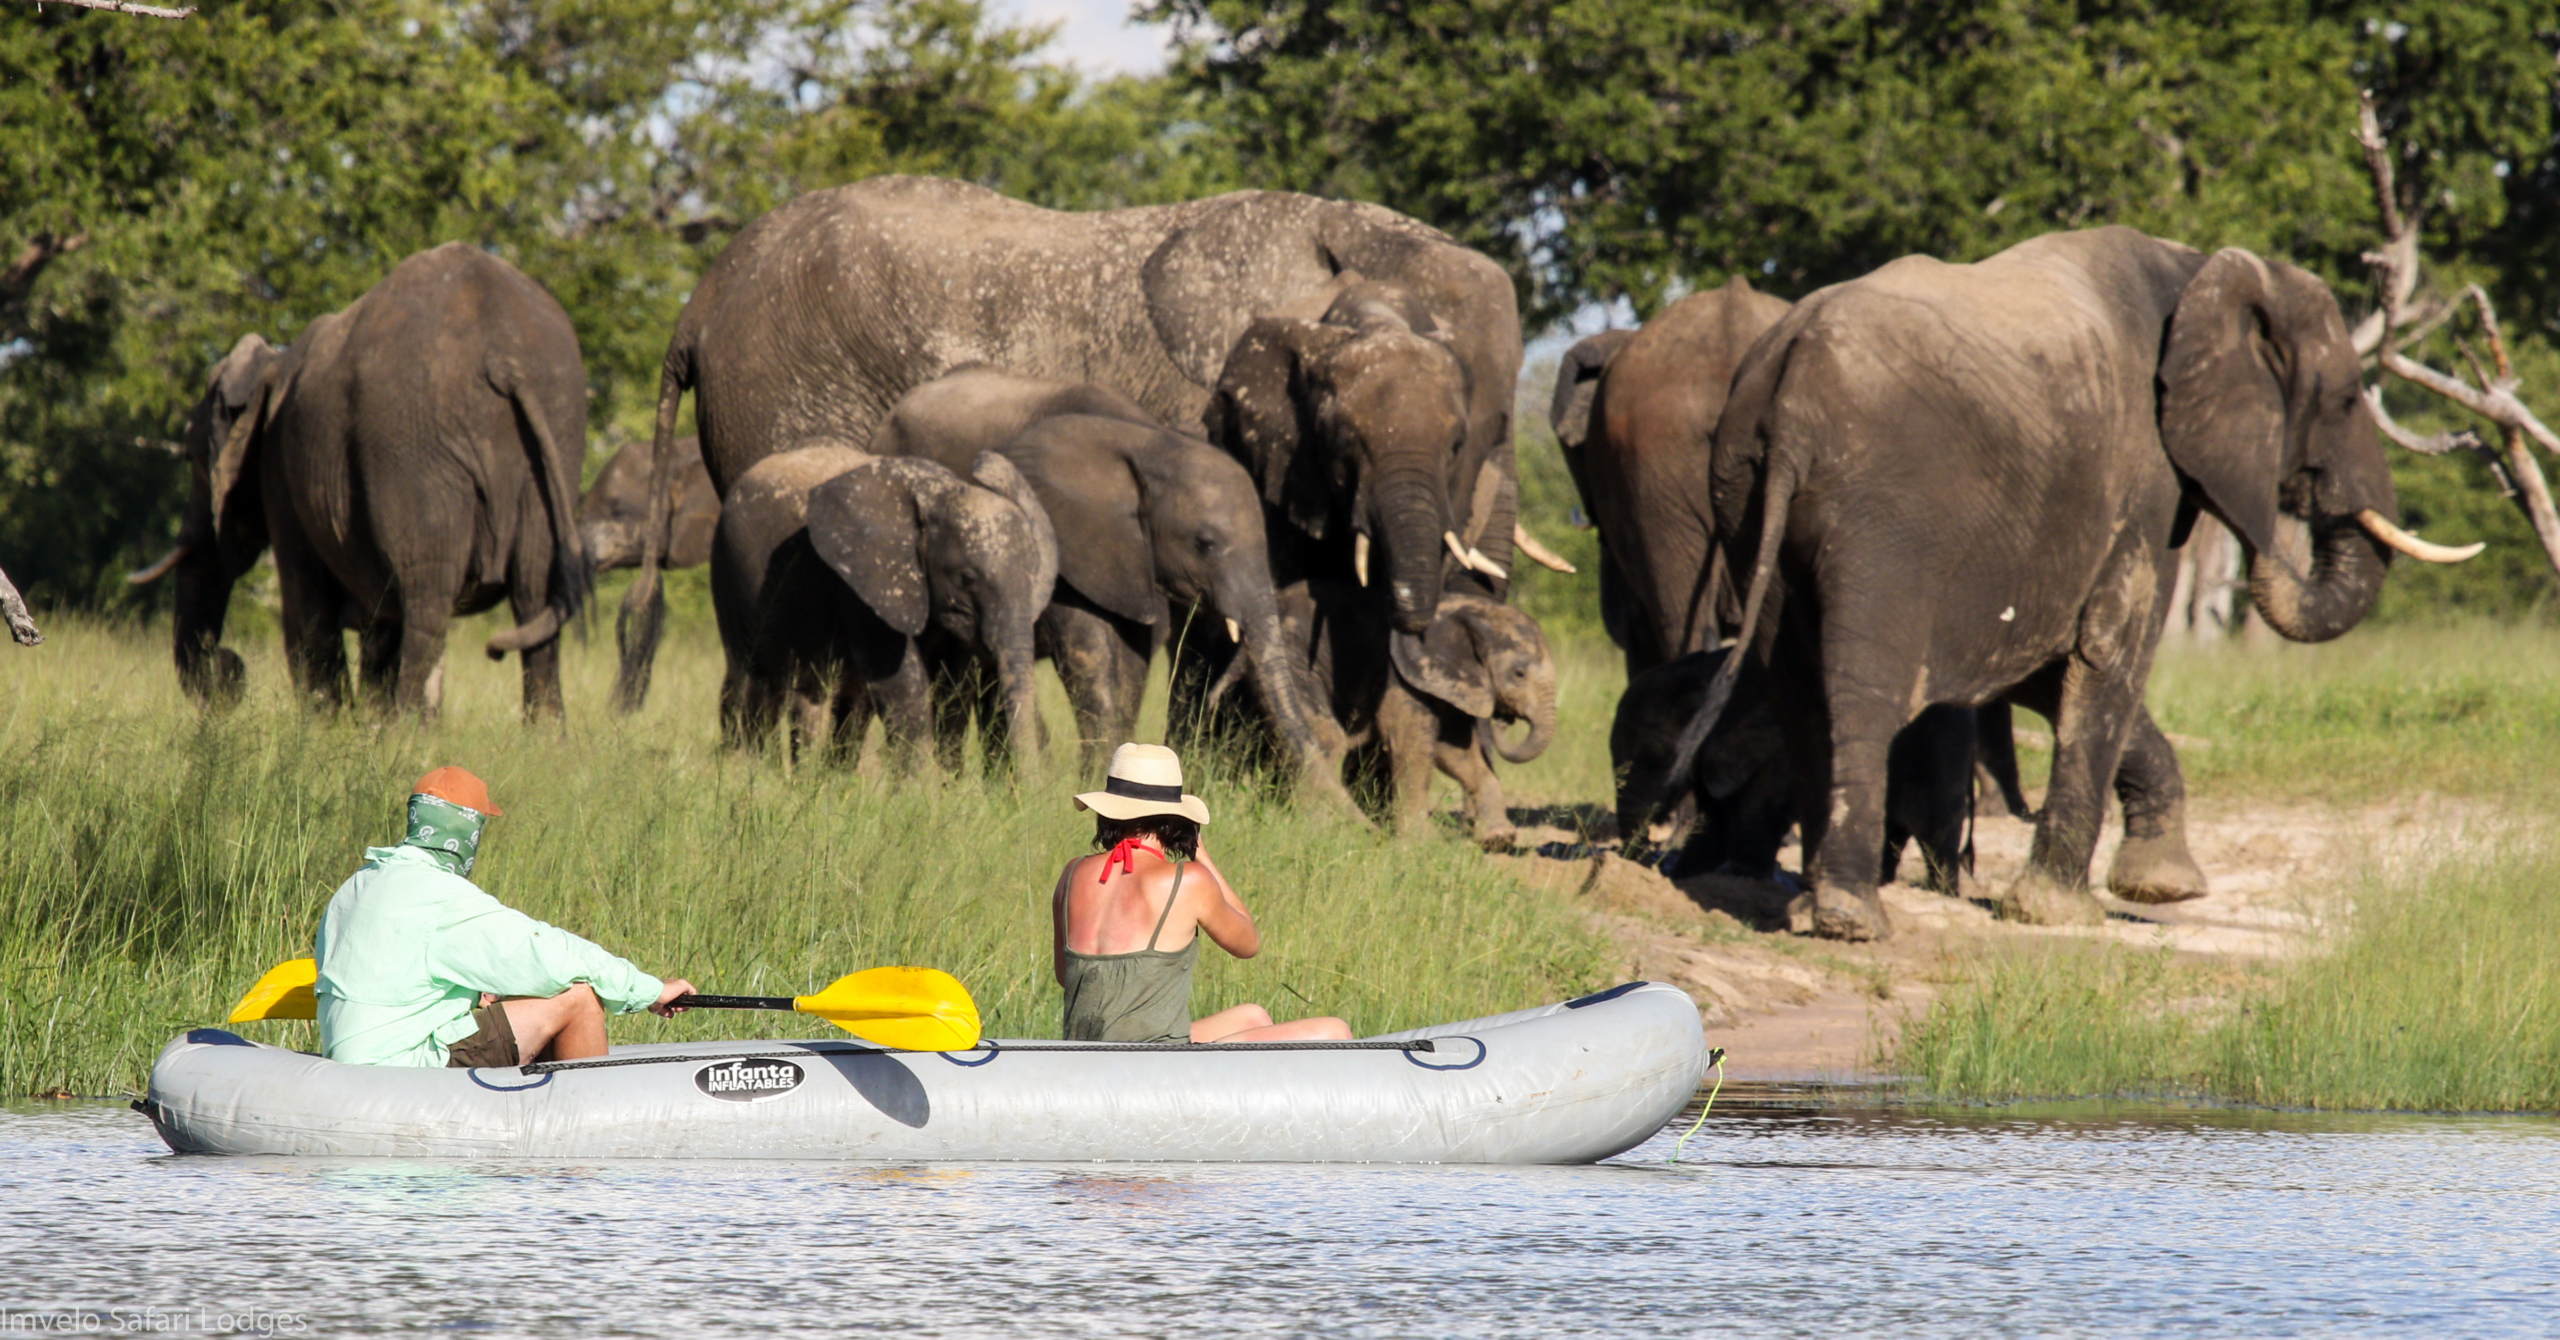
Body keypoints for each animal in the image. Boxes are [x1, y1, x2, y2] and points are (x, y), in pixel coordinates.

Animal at [139, 243, 588, 717]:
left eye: (191, 457)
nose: (229, 666)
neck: (270, 363)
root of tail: (502, 358)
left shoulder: (279, 466)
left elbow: (306, 606)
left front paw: (328, 724)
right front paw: (364, 722)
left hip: (415, 449)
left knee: (426, 596)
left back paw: (409, 728)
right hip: (555, 437)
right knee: (532, 593)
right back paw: (544, 731)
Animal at [709, 444, 1055, 772]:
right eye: (967, 578)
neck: (939, 494)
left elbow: (952, 690)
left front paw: (950, 786)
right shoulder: (864, 577)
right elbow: (902, 683)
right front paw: (920, 790)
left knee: (835, 700)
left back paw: (825, 780)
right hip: (730, 571)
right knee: (755, 685)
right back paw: (759, 776)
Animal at [1276, 581, 1557, 847]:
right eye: (1519, 674)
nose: (1504, 720)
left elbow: (1454, 750)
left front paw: (1499, 838)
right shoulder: (1398, 674)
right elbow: (1412, 743)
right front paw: (1422, 842)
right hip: (1296, 659)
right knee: (1325, 738)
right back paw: (1318, 828)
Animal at [1695, 226, 2474, 940]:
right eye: (2345, 401)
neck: (2204, 271)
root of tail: (1792, 385)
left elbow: (2050, 668)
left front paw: (2164, 885)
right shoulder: (2149, 476)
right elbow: (2113, 652)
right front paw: (2055, 911)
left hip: (1744, 496)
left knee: (1797, 689)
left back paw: (1809, 912)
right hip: (1882, 515)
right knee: (1863, 691)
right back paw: (1852, 919)